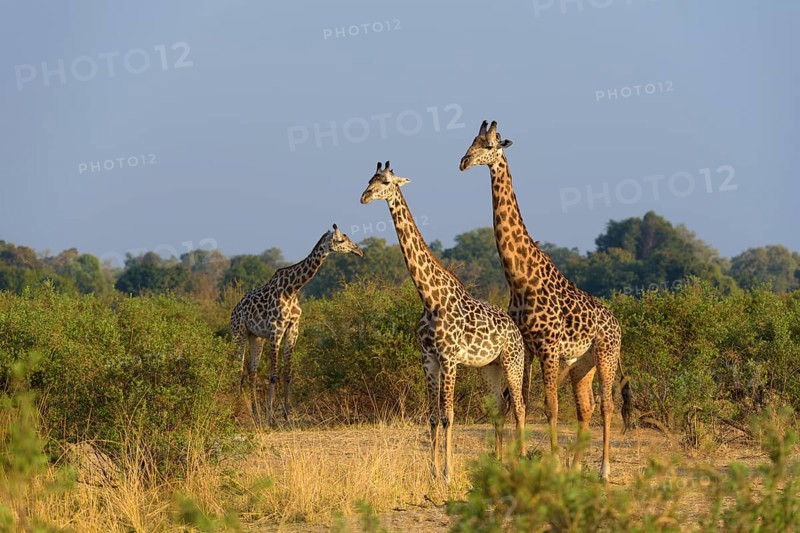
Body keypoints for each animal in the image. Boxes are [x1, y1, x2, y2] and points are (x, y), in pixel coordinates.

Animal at [230, 224, 362, 425]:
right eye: (341, 240)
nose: (359, 251)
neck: (292, 289)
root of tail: (233, 311)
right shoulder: (276, 331)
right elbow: (273, 375)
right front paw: (270, 418)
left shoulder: (292, 330)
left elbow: (288, 374)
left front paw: (286, 416)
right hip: (239, 333)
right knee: (238, 370)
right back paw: (237, 411)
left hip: (256, 337)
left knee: (252, 372)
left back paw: (255, 414)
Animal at [360, 161, 527, 482]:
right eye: (369, 179)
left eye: (385, 182)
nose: (363, 197)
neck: (429, 298)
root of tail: (515, 330)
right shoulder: (428, 359)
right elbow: (433, 417)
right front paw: (433, 472)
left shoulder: (449, 359)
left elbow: (449, 416)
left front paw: (448, 473)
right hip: (489, 367)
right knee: (499, 408)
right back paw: (498, 461)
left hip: (513, 361)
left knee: (520, 407)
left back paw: (522, 461)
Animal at [459, 121, 632, 481]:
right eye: (471, 142)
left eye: (489, 146)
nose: (464, 162)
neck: (520, 279)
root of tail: (617, 323)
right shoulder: (525, 347)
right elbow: (521, 402)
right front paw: (520, 460)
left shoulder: (549, 348)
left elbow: (549, 407)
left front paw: (549, 462)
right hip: (581, 364)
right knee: (586, 406)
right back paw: (576, 466)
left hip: (606, 354)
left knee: (607, 405)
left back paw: (603, 470)